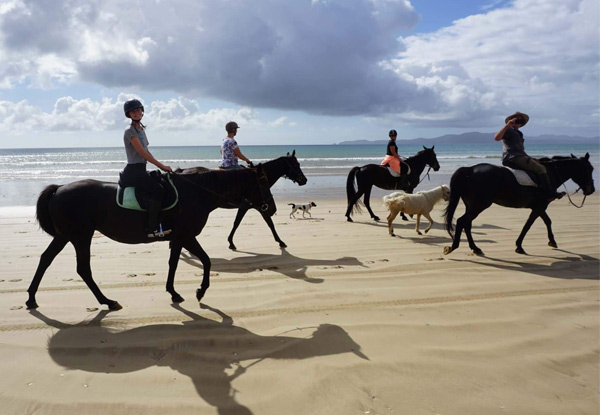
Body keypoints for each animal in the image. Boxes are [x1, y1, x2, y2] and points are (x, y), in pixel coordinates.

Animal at [25, 167, 274, 310]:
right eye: (263, 182)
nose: (270, 208)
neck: (196, 192)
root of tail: (59, 189)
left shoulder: (179, 238)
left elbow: (178, 263)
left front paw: (175, 292)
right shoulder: (186, 236)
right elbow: (204, 260)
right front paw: (200, 290)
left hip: (64, 236)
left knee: (45, 259)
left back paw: (31, 298)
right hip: (80, 236)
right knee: (83, 269)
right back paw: (107, 301)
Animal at [179, 153, 308, 250]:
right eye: (296, 165)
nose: (304, 180)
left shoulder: (247, 207)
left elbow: (237, 223)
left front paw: (230, 242)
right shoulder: (258, 207)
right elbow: (269, 223)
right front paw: (280, 241)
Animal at [442, 154, 592, 255]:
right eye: (589, 169)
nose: (591, 189)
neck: (550, 173)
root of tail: (470, 170)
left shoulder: (539, 206)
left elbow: (547, 221)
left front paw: (552, 241)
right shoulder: (540, 206)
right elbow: (528, 225)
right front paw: (519, 246)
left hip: (472, 206)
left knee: (467, 224)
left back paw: (475, 248)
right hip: (478, 206)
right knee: (462, 222)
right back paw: (453, 247)